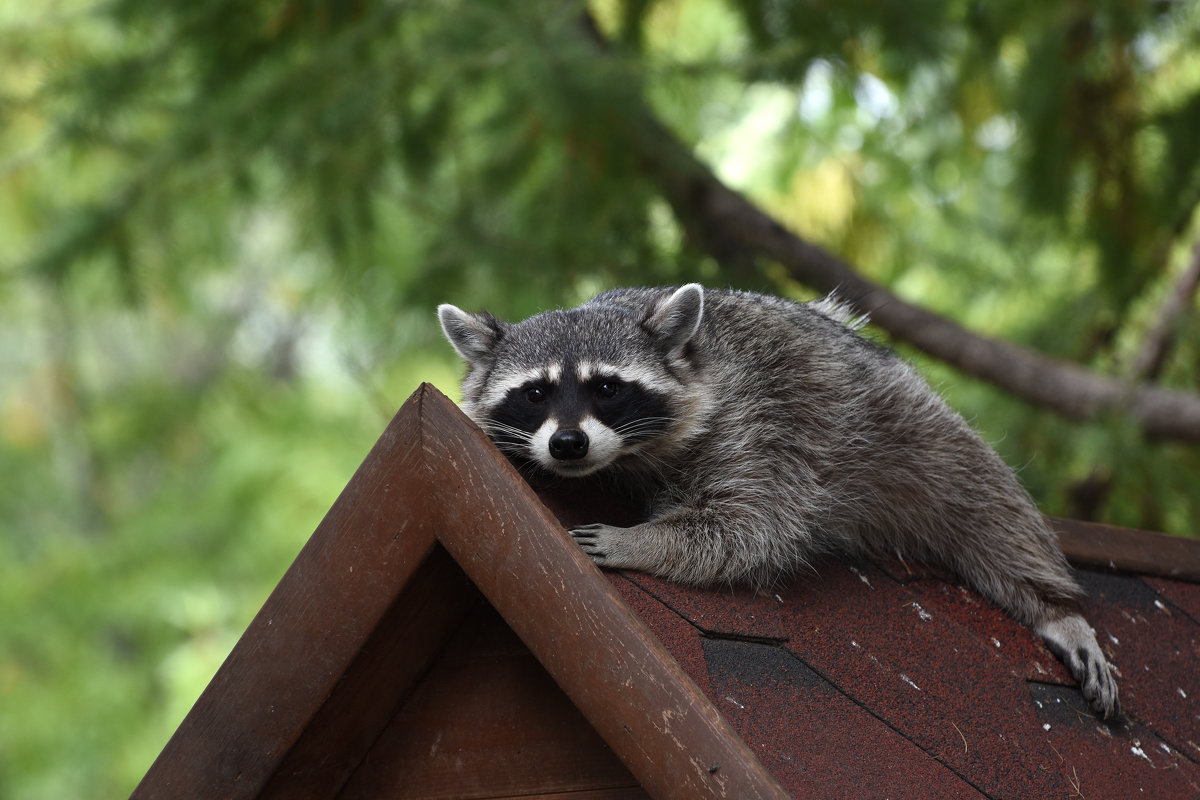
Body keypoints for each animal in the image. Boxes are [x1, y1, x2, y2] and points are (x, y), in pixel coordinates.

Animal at [436, 284, 1118, 714]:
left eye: (607, 388)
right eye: (534, 394)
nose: (568, 444)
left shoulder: (757, 419)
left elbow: (751, 526)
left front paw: (637, 540)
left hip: (901, 423)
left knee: (983, 499)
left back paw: (1051, 606)